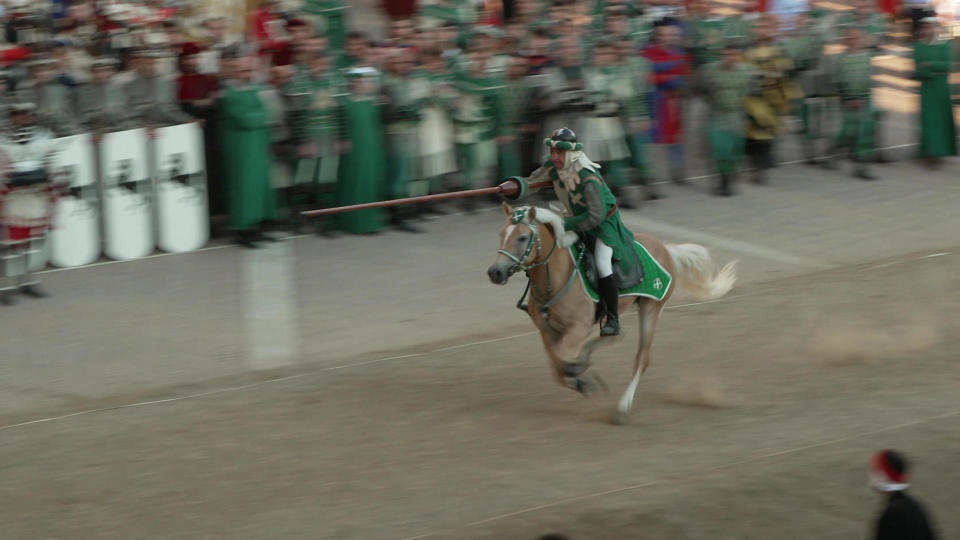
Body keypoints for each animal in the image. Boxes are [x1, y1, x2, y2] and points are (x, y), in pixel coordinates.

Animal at [488, 200, 736, 424]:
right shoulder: (546, 331)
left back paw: (622, 408)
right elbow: (557, 368)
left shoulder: (577, 329)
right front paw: (582, 380)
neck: (557, 278)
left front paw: (581, 375)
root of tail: (666, 249)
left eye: (522, 237)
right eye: (501, 234)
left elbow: (563, 361)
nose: (495, 272)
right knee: (614, 335)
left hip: (651, 308)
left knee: (642, 357)